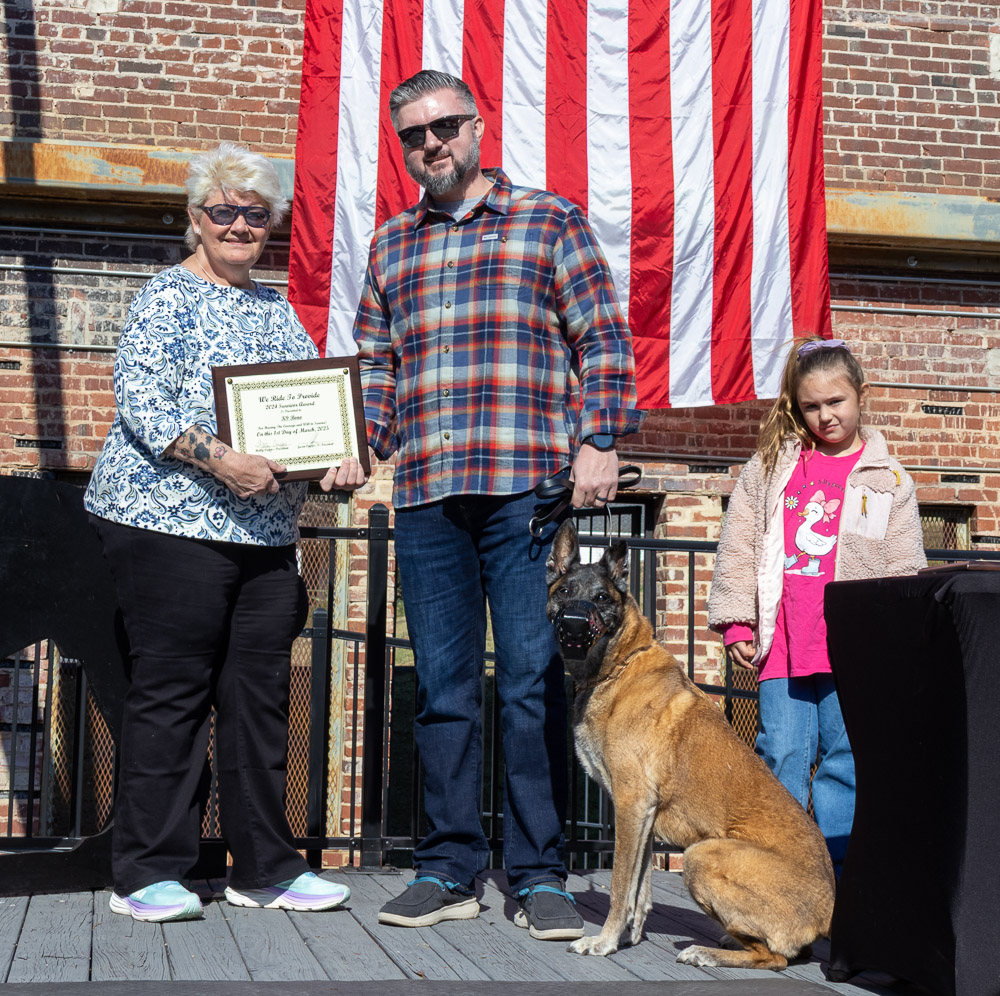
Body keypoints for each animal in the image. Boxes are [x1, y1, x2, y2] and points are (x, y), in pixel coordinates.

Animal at [545, 520, 835, 969]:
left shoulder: (631, 804)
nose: (574, 624)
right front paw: (630, 936)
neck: (617, 667)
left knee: (774, 957)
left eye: (601, 598)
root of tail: (827, 913)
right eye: (563, 592)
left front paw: (604, 941)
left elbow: (619, 887)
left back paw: (706, 952)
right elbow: (639, 888)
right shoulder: (643, 816)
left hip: (701, 855)